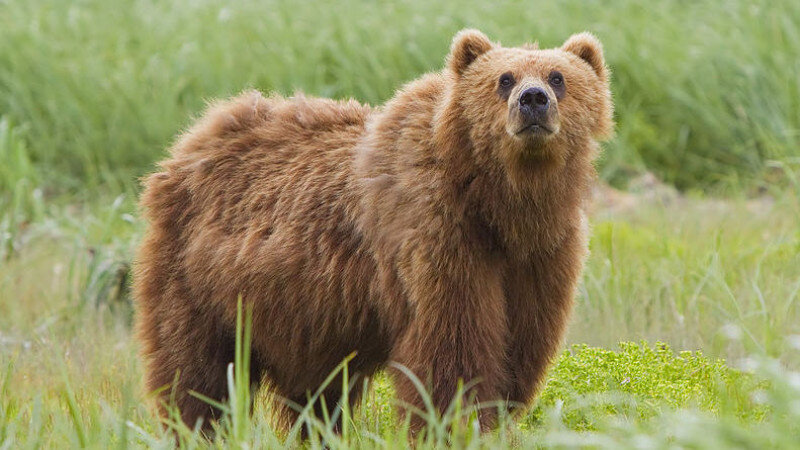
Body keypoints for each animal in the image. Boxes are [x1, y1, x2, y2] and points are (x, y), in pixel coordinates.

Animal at [133, 29, 612, 434]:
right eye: (504, 79)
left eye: (558, 77)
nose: (533, 100)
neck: (500, 204)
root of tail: (192, 139)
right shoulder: (436, 236)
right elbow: (452, 349)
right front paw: (456, 424)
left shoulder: (541, 255)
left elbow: (521, 346)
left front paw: (496, 419)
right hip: (198, 279)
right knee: (196, 372)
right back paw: (195, 428)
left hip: (302, 316)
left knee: (315, 394)